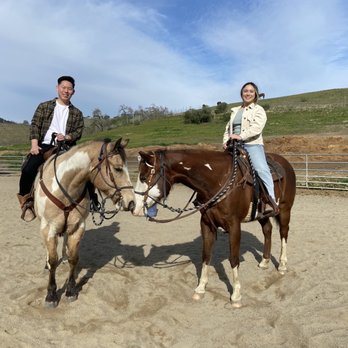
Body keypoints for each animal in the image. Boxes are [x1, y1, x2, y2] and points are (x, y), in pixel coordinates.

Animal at [34, 139, 135, 308]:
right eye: (118, 168)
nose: (131, 202)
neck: (64, 188)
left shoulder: (77, 227)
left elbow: (74, 258)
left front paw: (70, 290)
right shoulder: (49, 227)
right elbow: (53, 260)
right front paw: (51, 295)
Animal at [133, 144, 296, 308]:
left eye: (143, 177)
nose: (135, 208)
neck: (217, 180)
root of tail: (286, 163)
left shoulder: (234, 225)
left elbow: (234, 258)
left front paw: (236, 295)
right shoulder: (206, 223)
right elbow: (206, 255)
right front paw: (200, 288)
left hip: (284, 210)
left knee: (283, 233)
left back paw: (282, 265)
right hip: (260, 214)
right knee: (267, 229)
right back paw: (264, 261)